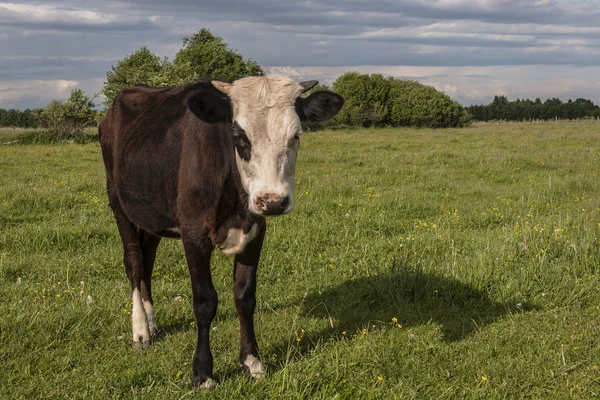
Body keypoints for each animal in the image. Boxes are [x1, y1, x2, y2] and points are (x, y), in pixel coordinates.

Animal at [98, 74, 342, 388]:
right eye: (239, 137)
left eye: (296, 136)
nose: (273, 200)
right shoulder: (194, 235)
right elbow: (205, 302)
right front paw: (203, 373)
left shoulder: (255, 231)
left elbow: (245, 297)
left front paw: (252, 362)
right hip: (119, 203)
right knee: (134, 263)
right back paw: (140, 330)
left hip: (151, 213)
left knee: (148, 260)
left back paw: (151, 323)